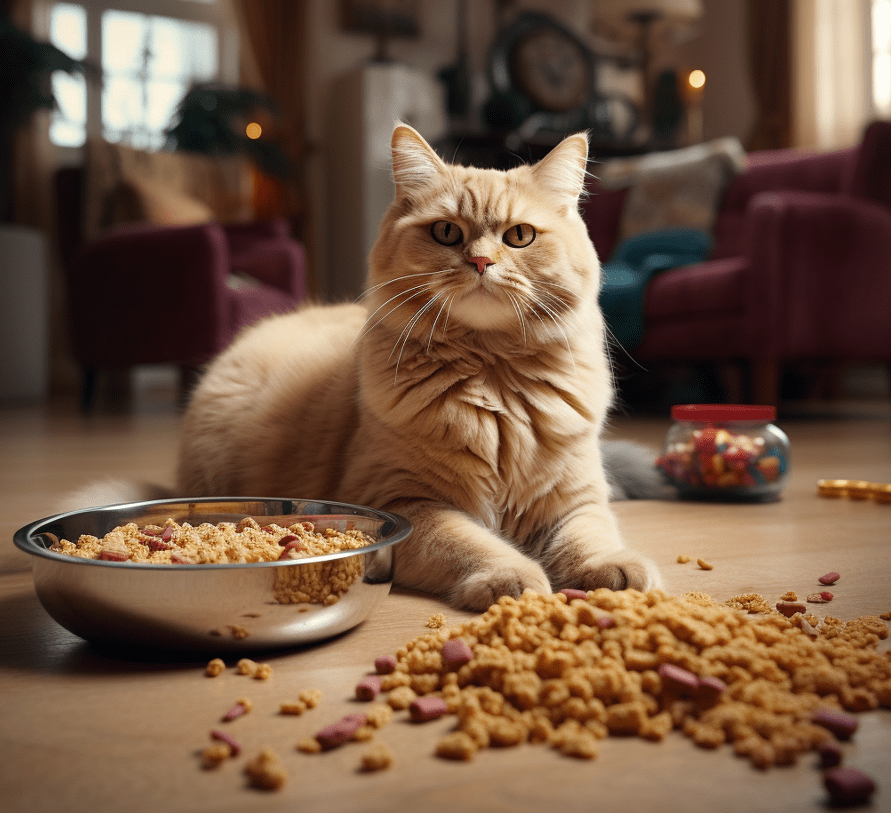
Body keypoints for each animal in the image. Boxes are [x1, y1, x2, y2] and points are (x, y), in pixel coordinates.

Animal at [172, 125, 664, 608]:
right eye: (446, 232)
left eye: (520, 236)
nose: (481, 262)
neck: (493, 380)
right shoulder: (406, 502)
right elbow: (473, 545)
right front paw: (512, 579)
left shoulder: (577, 499)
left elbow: (589, 538)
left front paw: (617, 573)